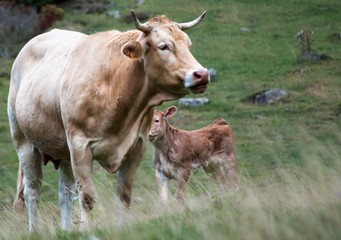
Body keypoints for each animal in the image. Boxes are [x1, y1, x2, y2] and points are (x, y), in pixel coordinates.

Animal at [7, 10, 209, 232]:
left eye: (188, 45)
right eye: (163, 46)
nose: (202, 75)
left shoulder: (137, 146)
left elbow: (124, 195)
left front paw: (123, 227)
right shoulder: (80, 146)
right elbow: (87, 198)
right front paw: (86, 231)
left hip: (63, 150)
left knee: (65, 193)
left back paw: (67, 230)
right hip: (24, 143)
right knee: (32, 192)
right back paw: (34, 231)